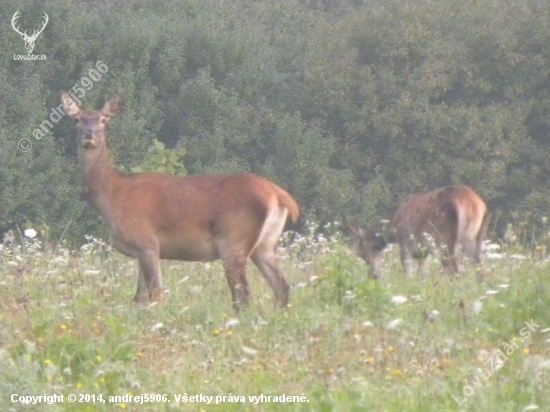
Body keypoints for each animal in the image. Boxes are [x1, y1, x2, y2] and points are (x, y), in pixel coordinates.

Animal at [63, 94, 302, 308]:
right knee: (281, 287)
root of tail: (279, 195)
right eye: (77, 119)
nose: (89, 134)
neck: (113, 196)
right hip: (265, 245)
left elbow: (156, 294)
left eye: (103, 119)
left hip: (234, 241)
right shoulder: (141, 250)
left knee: (243, 297)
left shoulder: (147, 242)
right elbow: (140, 299)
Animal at [352, 186, 490, 280]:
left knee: (453, 268)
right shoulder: (424, 254)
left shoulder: (405, 244)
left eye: (361, 253)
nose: (373, 276)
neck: (394, 230)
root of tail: (473, 205)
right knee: (478, 266)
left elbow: (407, 275)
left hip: (444, 239)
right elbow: (422, 276)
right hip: (477, 236)